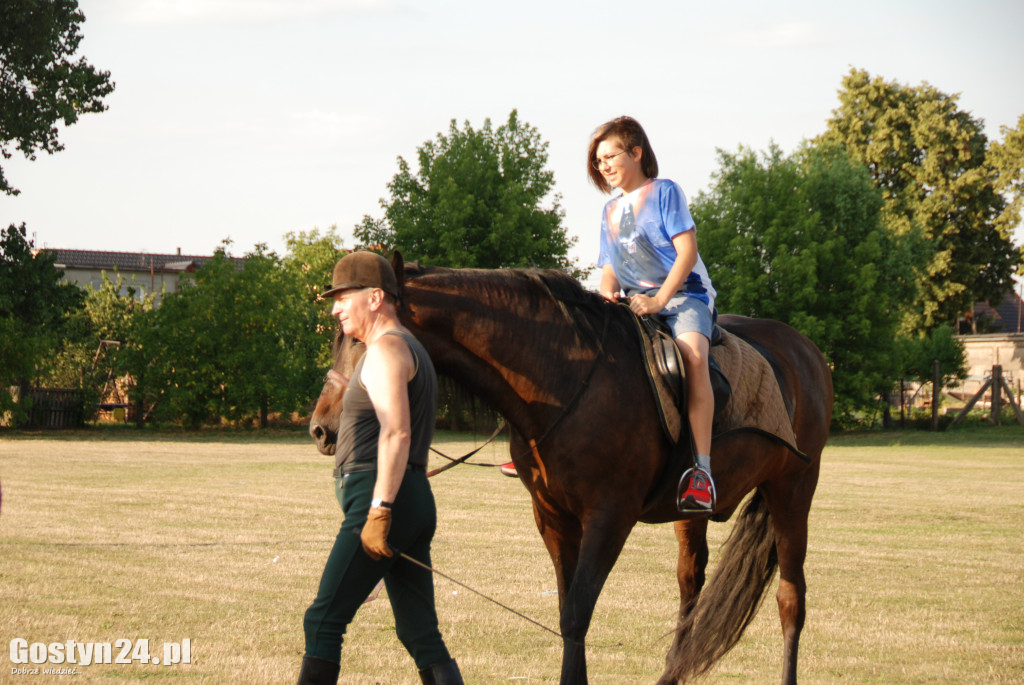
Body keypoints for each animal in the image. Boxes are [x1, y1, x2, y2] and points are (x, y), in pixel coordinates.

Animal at [309, 253, 831, 679]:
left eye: (355, 337)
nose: (321, 428)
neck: (567, 378)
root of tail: (806, 350)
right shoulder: (553, 517)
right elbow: (566, 614)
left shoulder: (609, 517)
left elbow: (578, 612)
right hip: (694, 511)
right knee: (691, 585)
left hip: (793, 488)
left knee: (791, 598)